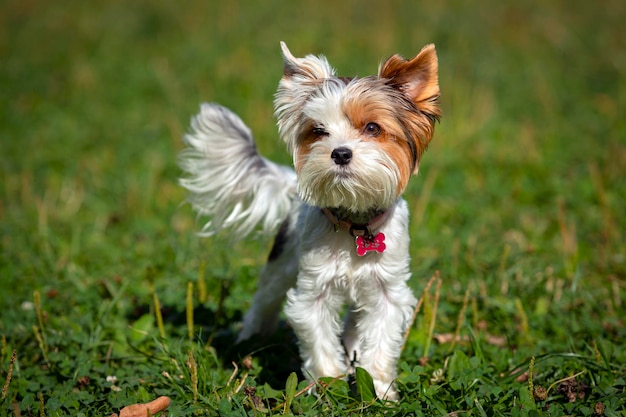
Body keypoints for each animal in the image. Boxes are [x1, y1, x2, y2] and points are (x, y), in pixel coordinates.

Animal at [176, 42, 438, 400]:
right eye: (318, 131)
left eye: (372, 128)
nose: (340, 153)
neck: (355, 223)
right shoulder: (313, 292)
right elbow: (319, 341)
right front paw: (329, 386)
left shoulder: (388, 291)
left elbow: (381, 344)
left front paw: (381, 392)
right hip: (281, 264)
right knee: (264, 300)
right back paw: (250, 338)